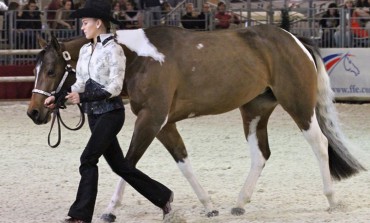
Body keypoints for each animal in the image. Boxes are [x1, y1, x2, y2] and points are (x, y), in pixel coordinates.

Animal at [26, 24, 364, 221]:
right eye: (36, 68)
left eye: (53, 70)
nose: (35, 112)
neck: (137, 58)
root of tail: (296, 40)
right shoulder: (164, 124)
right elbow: (183, 162)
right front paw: (207, 205)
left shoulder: (152, 119)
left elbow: (129, 163)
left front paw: (110, 209)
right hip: (255, 109)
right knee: (261, 154)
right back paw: (240, 203)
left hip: (298, 104)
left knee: (319, 143)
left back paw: (332, 200)